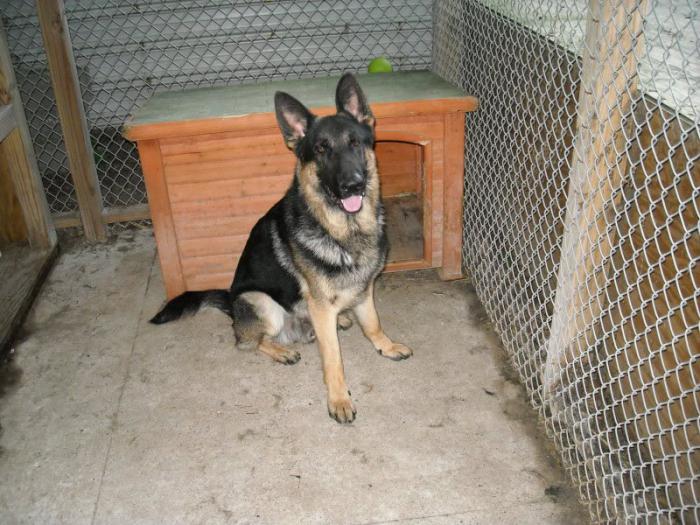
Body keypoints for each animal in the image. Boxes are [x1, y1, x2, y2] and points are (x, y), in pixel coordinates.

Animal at [148, 72, 410, 422]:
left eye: (355, 143)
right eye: (321, 149)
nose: (352, 185)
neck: (343, 230)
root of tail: (231, 302)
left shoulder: (364, 288)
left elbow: (373, 323)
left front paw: (386, 346)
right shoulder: (324, 306)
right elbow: (333, 360)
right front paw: (339, 399)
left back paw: (337, 320)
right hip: (261, 303)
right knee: (247, 342)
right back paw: (281, 350)